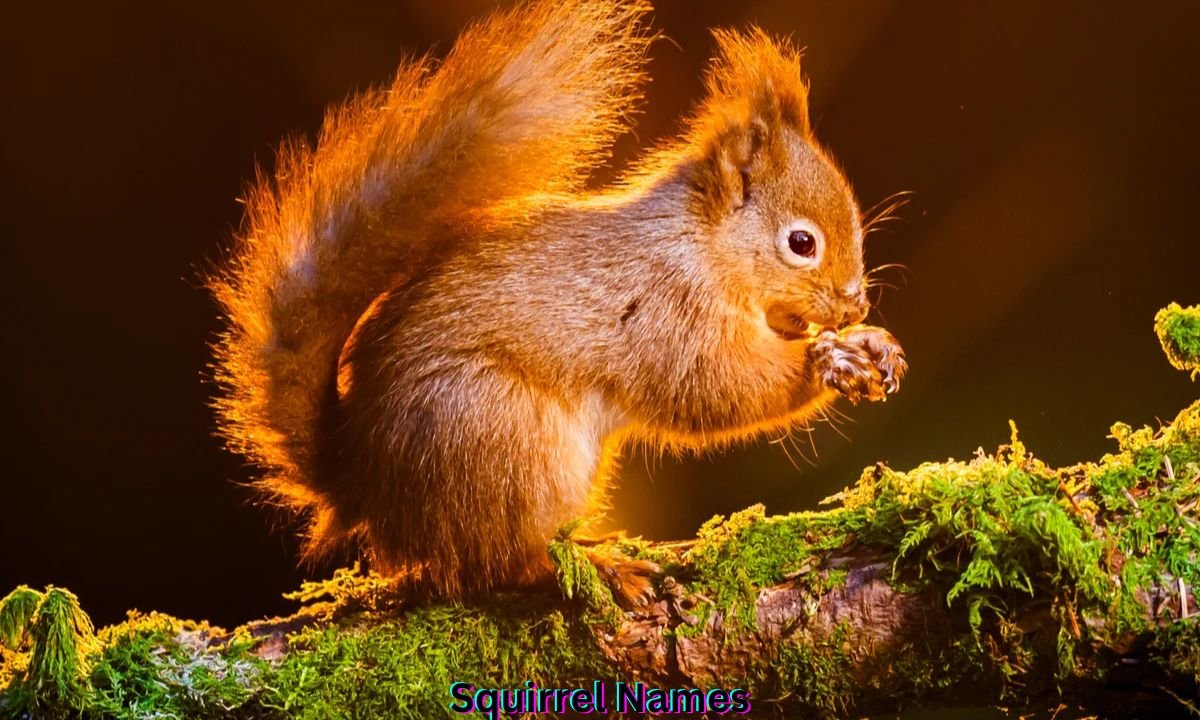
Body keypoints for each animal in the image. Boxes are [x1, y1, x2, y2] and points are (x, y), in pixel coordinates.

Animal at [210, 0, 907, 605]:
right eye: (801, 243)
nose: (853, 305)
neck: (702, 246)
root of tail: (363, 484)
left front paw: (872, 344)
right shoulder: (667, 313)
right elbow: (718, 387)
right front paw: (827, 361)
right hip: (506, 444)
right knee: (506, 561)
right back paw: (602, 567)